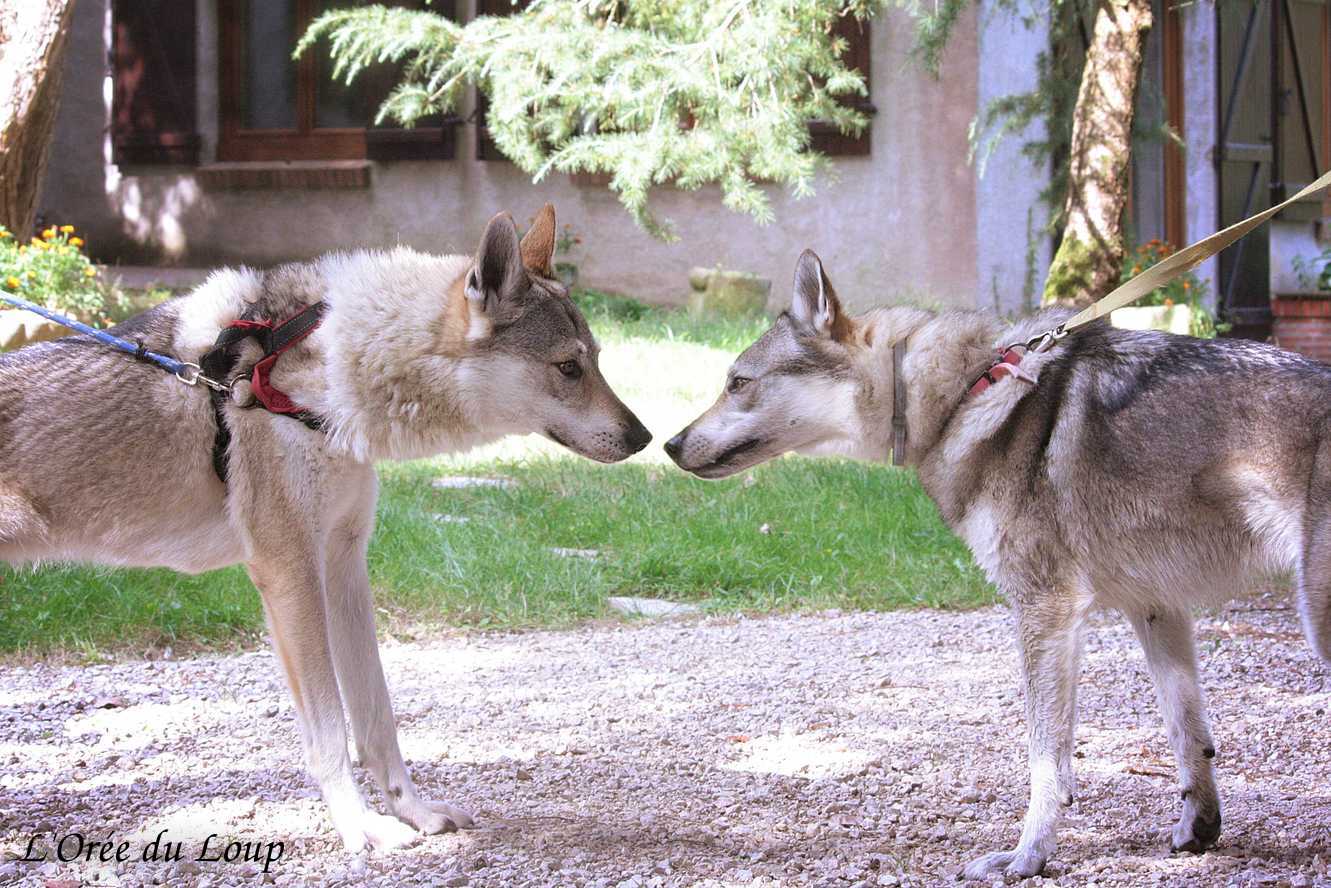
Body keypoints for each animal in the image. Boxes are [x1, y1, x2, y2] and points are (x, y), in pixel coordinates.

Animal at [0, 206, 649, 852]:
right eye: (568, 367)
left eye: (595, 361)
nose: (644, 437)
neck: (321, 375)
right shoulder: (289, 572)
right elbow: (330, 729)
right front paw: (360, 826)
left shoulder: (343, 565)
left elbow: (377, 718)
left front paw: (411, 811)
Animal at [670, 251, 1331, 884]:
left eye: (737, 382)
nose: (670, 444)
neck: (966, 394)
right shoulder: (1156, 607)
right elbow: (1187, 732)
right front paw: (1199, 829)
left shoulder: (1046, 608)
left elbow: (1047, 761)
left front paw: (1027, 855)